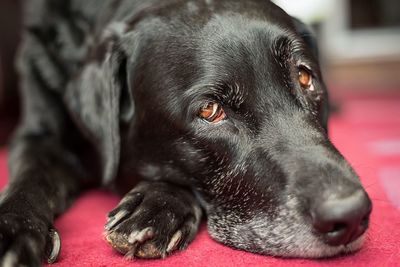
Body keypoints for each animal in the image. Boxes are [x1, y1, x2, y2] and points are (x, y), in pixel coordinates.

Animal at [1, 0, 374, 266]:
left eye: (305, 77)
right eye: (209, 110)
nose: (351, 215)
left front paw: (155, 203)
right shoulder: (38, 136)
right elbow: (30, 177)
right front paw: (13, 230)